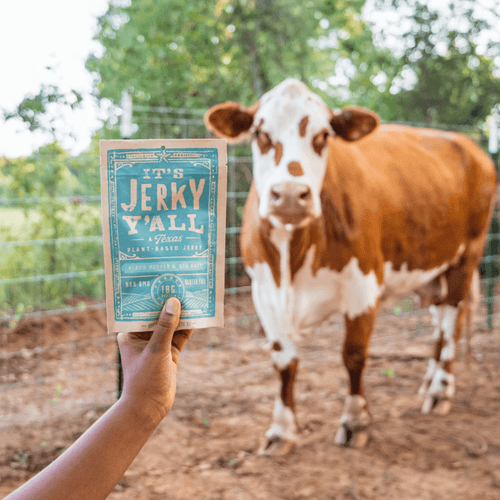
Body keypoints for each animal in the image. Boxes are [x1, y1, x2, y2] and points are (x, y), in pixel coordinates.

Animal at [203, 79, 496, 454]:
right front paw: (281, 431)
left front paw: (355, 422)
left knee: (449, 324)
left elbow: (353, 355)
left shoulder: (363, 284)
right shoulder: (263, 291)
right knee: (440, 321)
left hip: (467, 254)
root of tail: (467, 143)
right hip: (431, 267)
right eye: (260, 133)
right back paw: (429, 380)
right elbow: (284, 362)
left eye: (323, 135)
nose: (289, 194)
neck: (292, 256)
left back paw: (440, 391)